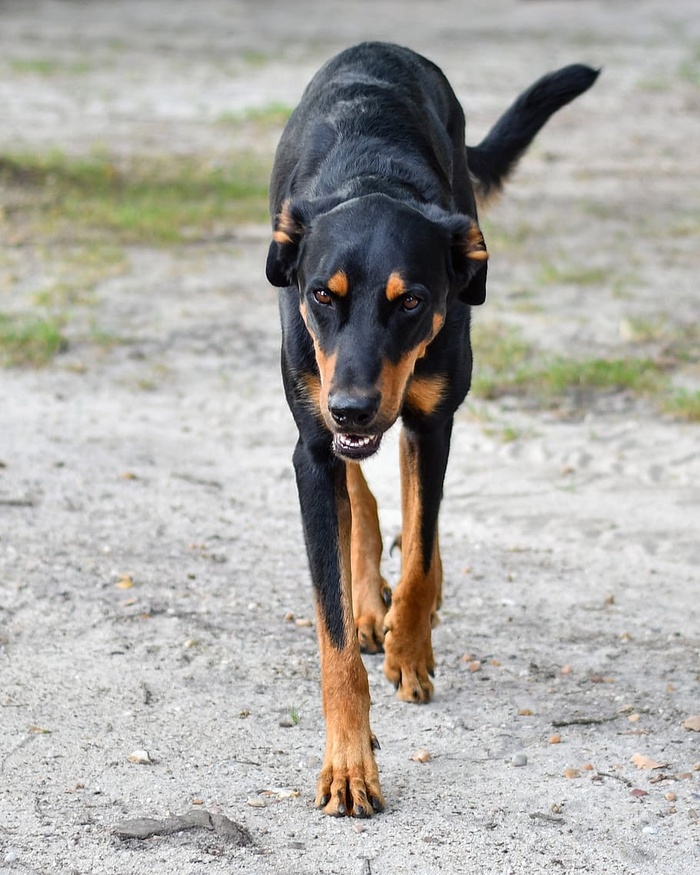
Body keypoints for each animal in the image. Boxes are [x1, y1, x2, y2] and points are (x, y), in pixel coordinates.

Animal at [266, 44, 600, 816]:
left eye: (412, 300)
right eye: (321, 295)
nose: (353, 408)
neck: (371, 179)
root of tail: (382, 48)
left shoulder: (433, 419)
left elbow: (419, 549)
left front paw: (409, 650)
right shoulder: (312, 443)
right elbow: (332, 629)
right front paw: (349, 762)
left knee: (417, 510)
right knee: (361, 492)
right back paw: (368, 600)